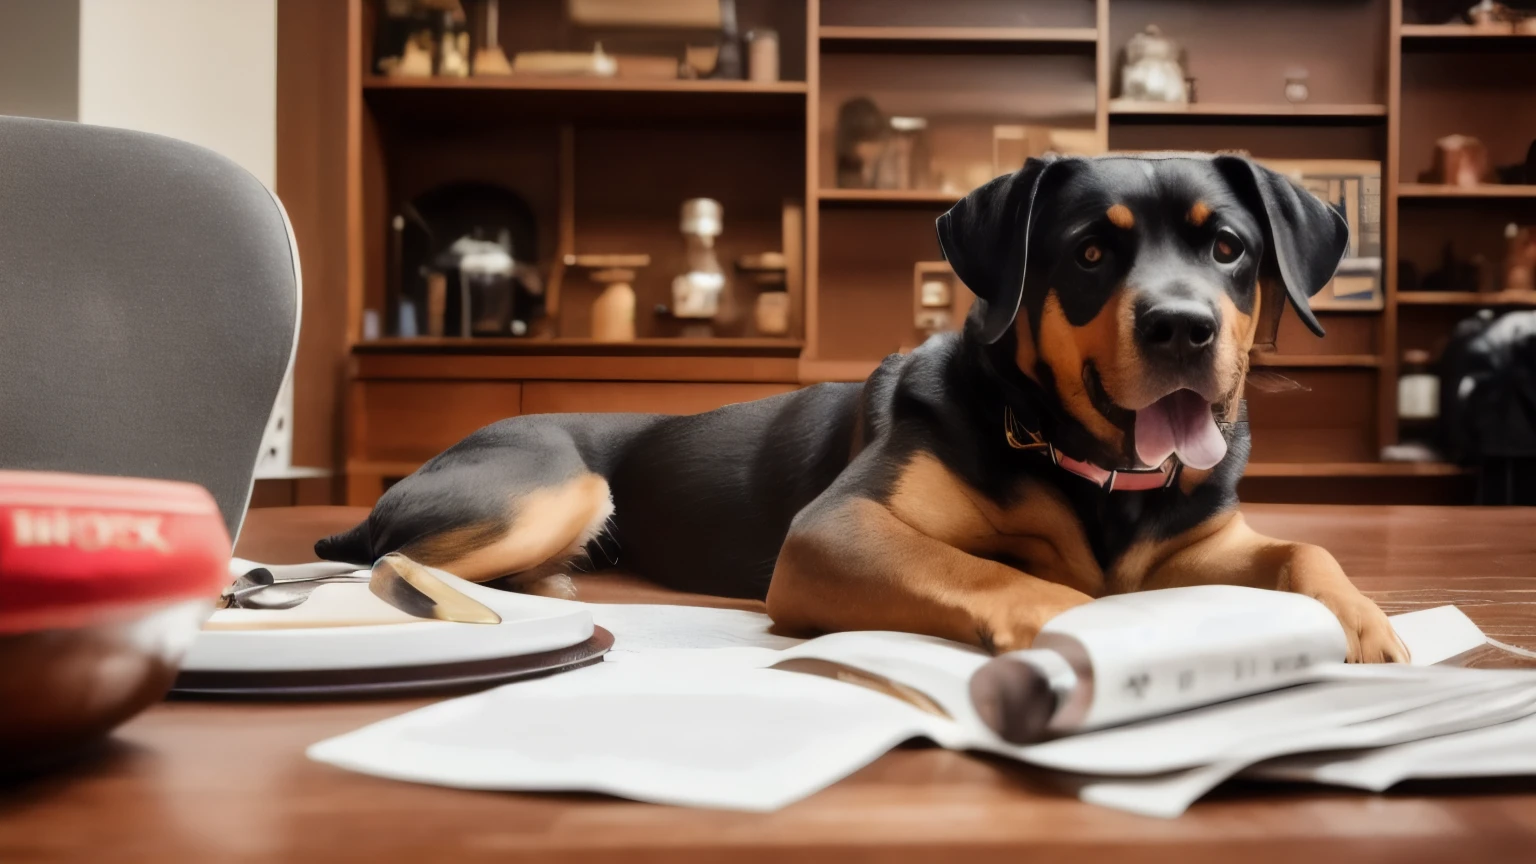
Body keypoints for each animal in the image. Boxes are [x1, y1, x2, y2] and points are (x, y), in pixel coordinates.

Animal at [317, 152, 1406, 657]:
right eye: (1092, 251)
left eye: (1227, 248)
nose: (1183, 328)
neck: (1091, 468)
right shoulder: (833, 531)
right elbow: (1002, 576)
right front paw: (1093, 628)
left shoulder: (1202, 541)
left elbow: (1307, 549)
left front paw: (1365, 626)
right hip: (557, 486)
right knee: (389, 561)